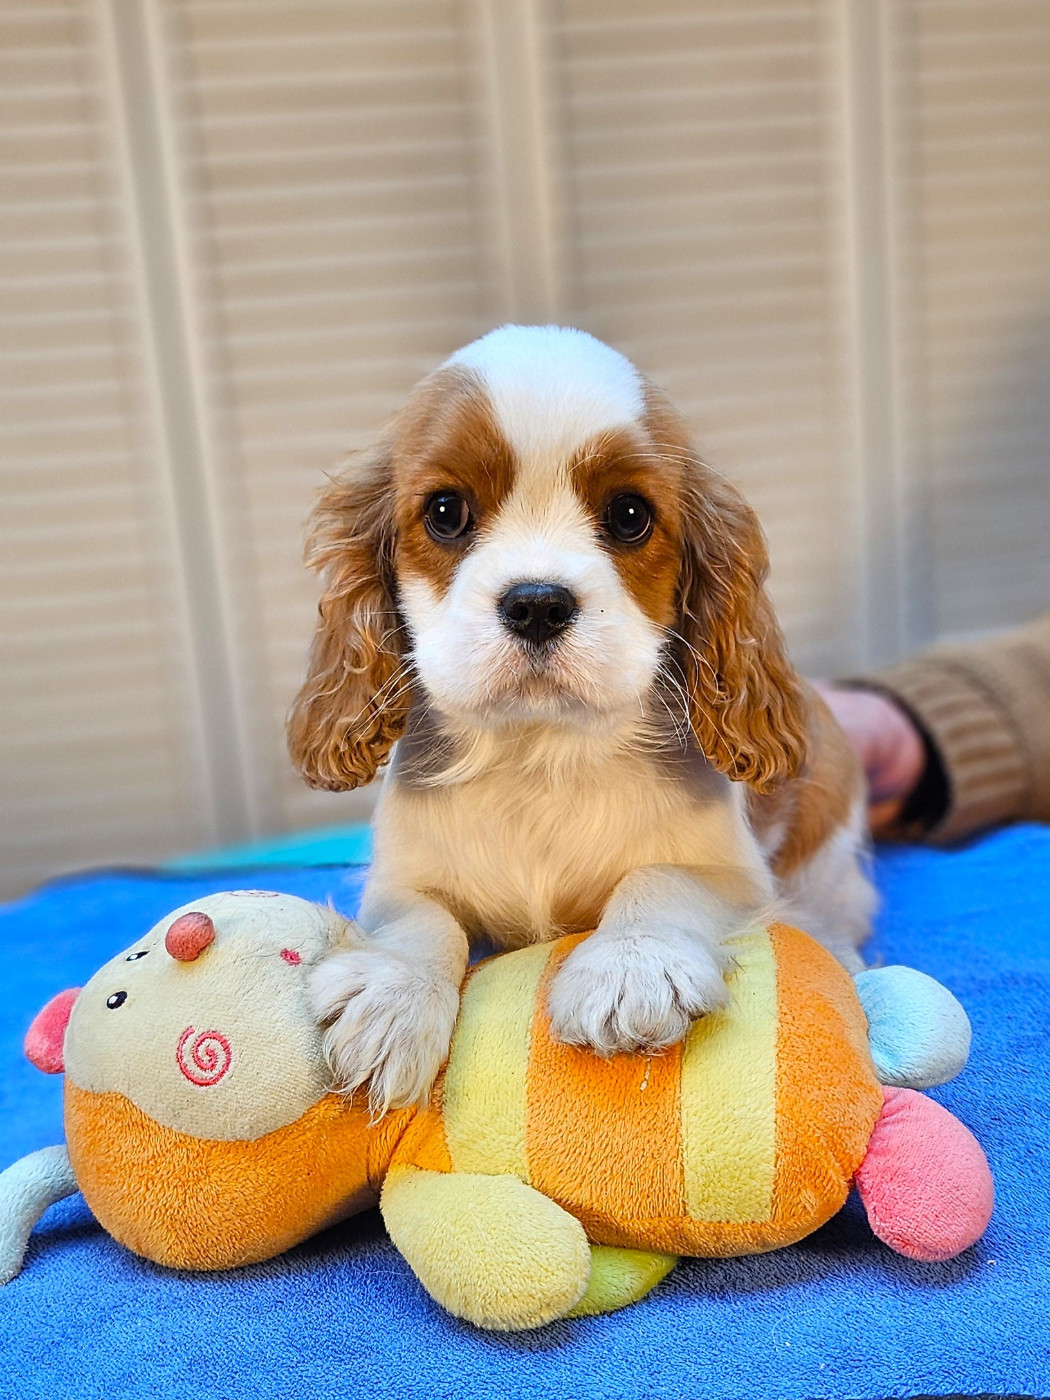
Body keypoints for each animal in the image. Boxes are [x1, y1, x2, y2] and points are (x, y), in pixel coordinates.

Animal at [288, 325, 874, 1112]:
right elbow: (423, 919)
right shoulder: (403, 877)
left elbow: (660, 879)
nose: (537, 602)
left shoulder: (733, 875)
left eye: (628, 516)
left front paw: (629, 967)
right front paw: (391, 998)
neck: (541, 753)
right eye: (445, 512)